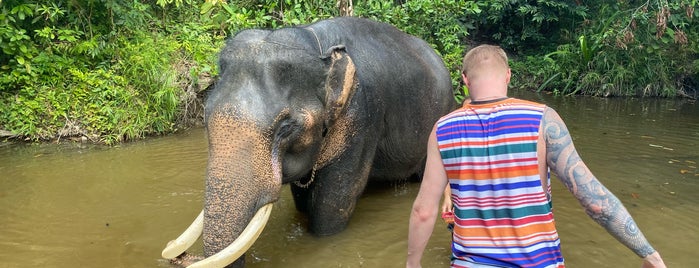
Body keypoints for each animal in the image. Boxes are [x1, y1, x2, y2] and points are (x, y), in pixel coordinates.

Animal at [164, 16, 460, 268]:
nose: (180, 256)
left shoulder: (361, 115)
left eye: (285, 127)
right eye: (205, 118)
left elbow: (332, 204)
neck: (313, 40)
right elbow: (303, 197)